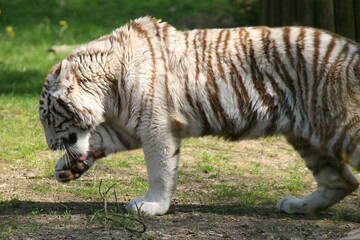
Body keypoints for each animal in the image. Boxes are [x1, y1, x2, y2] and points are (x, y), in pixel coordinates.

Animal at [39, 16, 360, 216]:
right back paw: (296, 205)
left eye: (48, 117)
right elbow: (100, 136)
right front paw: (67, 167)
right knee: (341, 181)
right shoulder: (130, 126)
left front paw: (152, 206)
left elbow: (160, 171)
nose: (49, 145)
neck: (108, 89)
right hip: (308, 136)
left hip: (344, 126)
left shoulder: (156, 126)